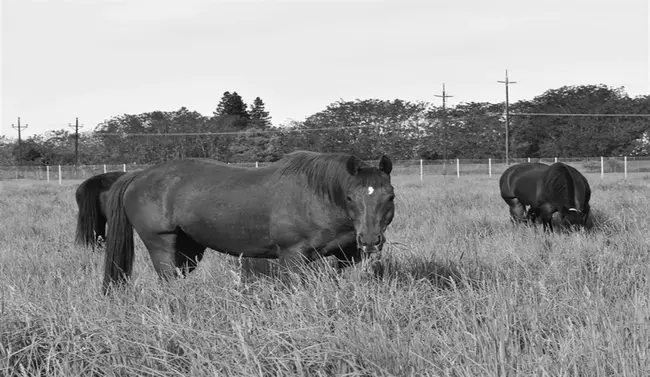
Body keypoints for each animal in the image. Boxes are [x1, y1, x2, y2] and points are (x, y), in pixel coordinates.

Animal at [102, 151, 394, 292]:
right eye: (350, 197)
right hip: (161, 244)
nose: (370, 240)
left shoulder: (349, 255)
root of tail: (139, 175)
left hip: (188, 250)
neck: (318, 194)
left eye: (390, 196)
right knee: (167, 280)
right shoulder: (292, 256)